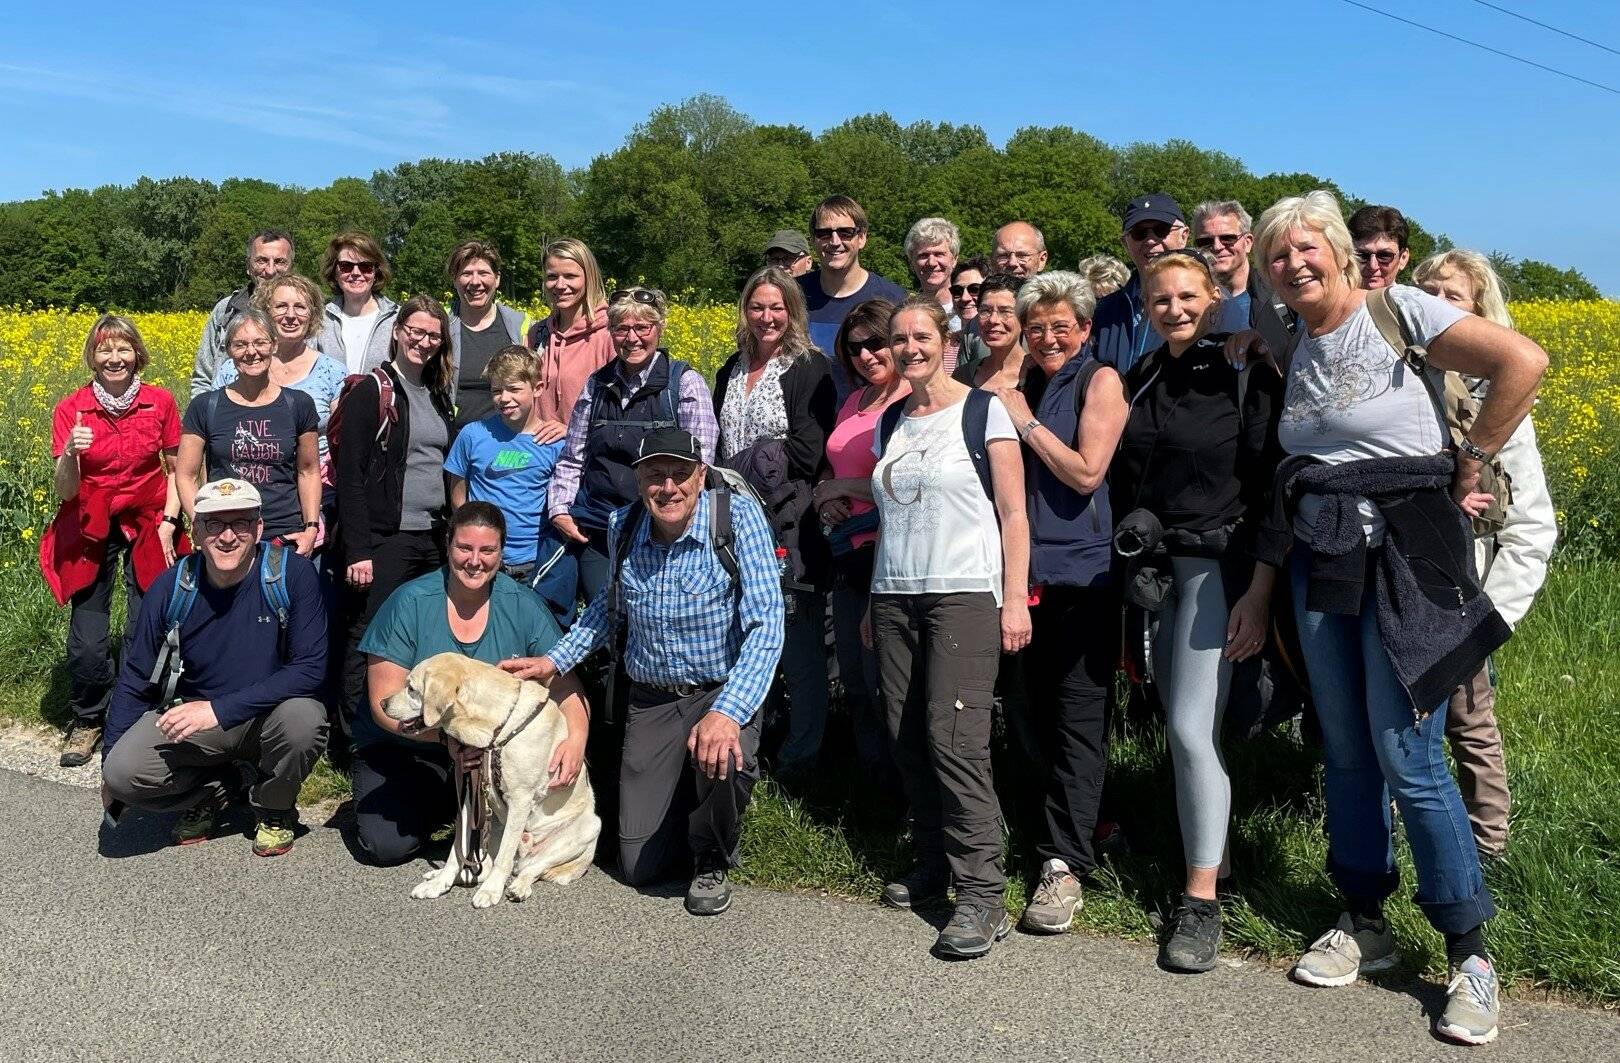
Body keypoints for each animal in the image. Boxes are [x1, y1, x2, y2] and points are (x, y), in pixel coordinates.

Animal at [380, 651, 602, 907]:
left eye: (411, 688)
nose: (382, 703)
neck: (495, 730)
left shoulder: (520, 800)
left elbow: (504, 855)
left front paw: (490, 891)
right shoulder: (469, 795)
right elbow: (457, 851)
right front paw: (439, 884)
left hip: (589, 827)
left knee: (532, 869)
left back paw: (518, 887)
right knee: (480, 868)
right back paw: (441, 875)